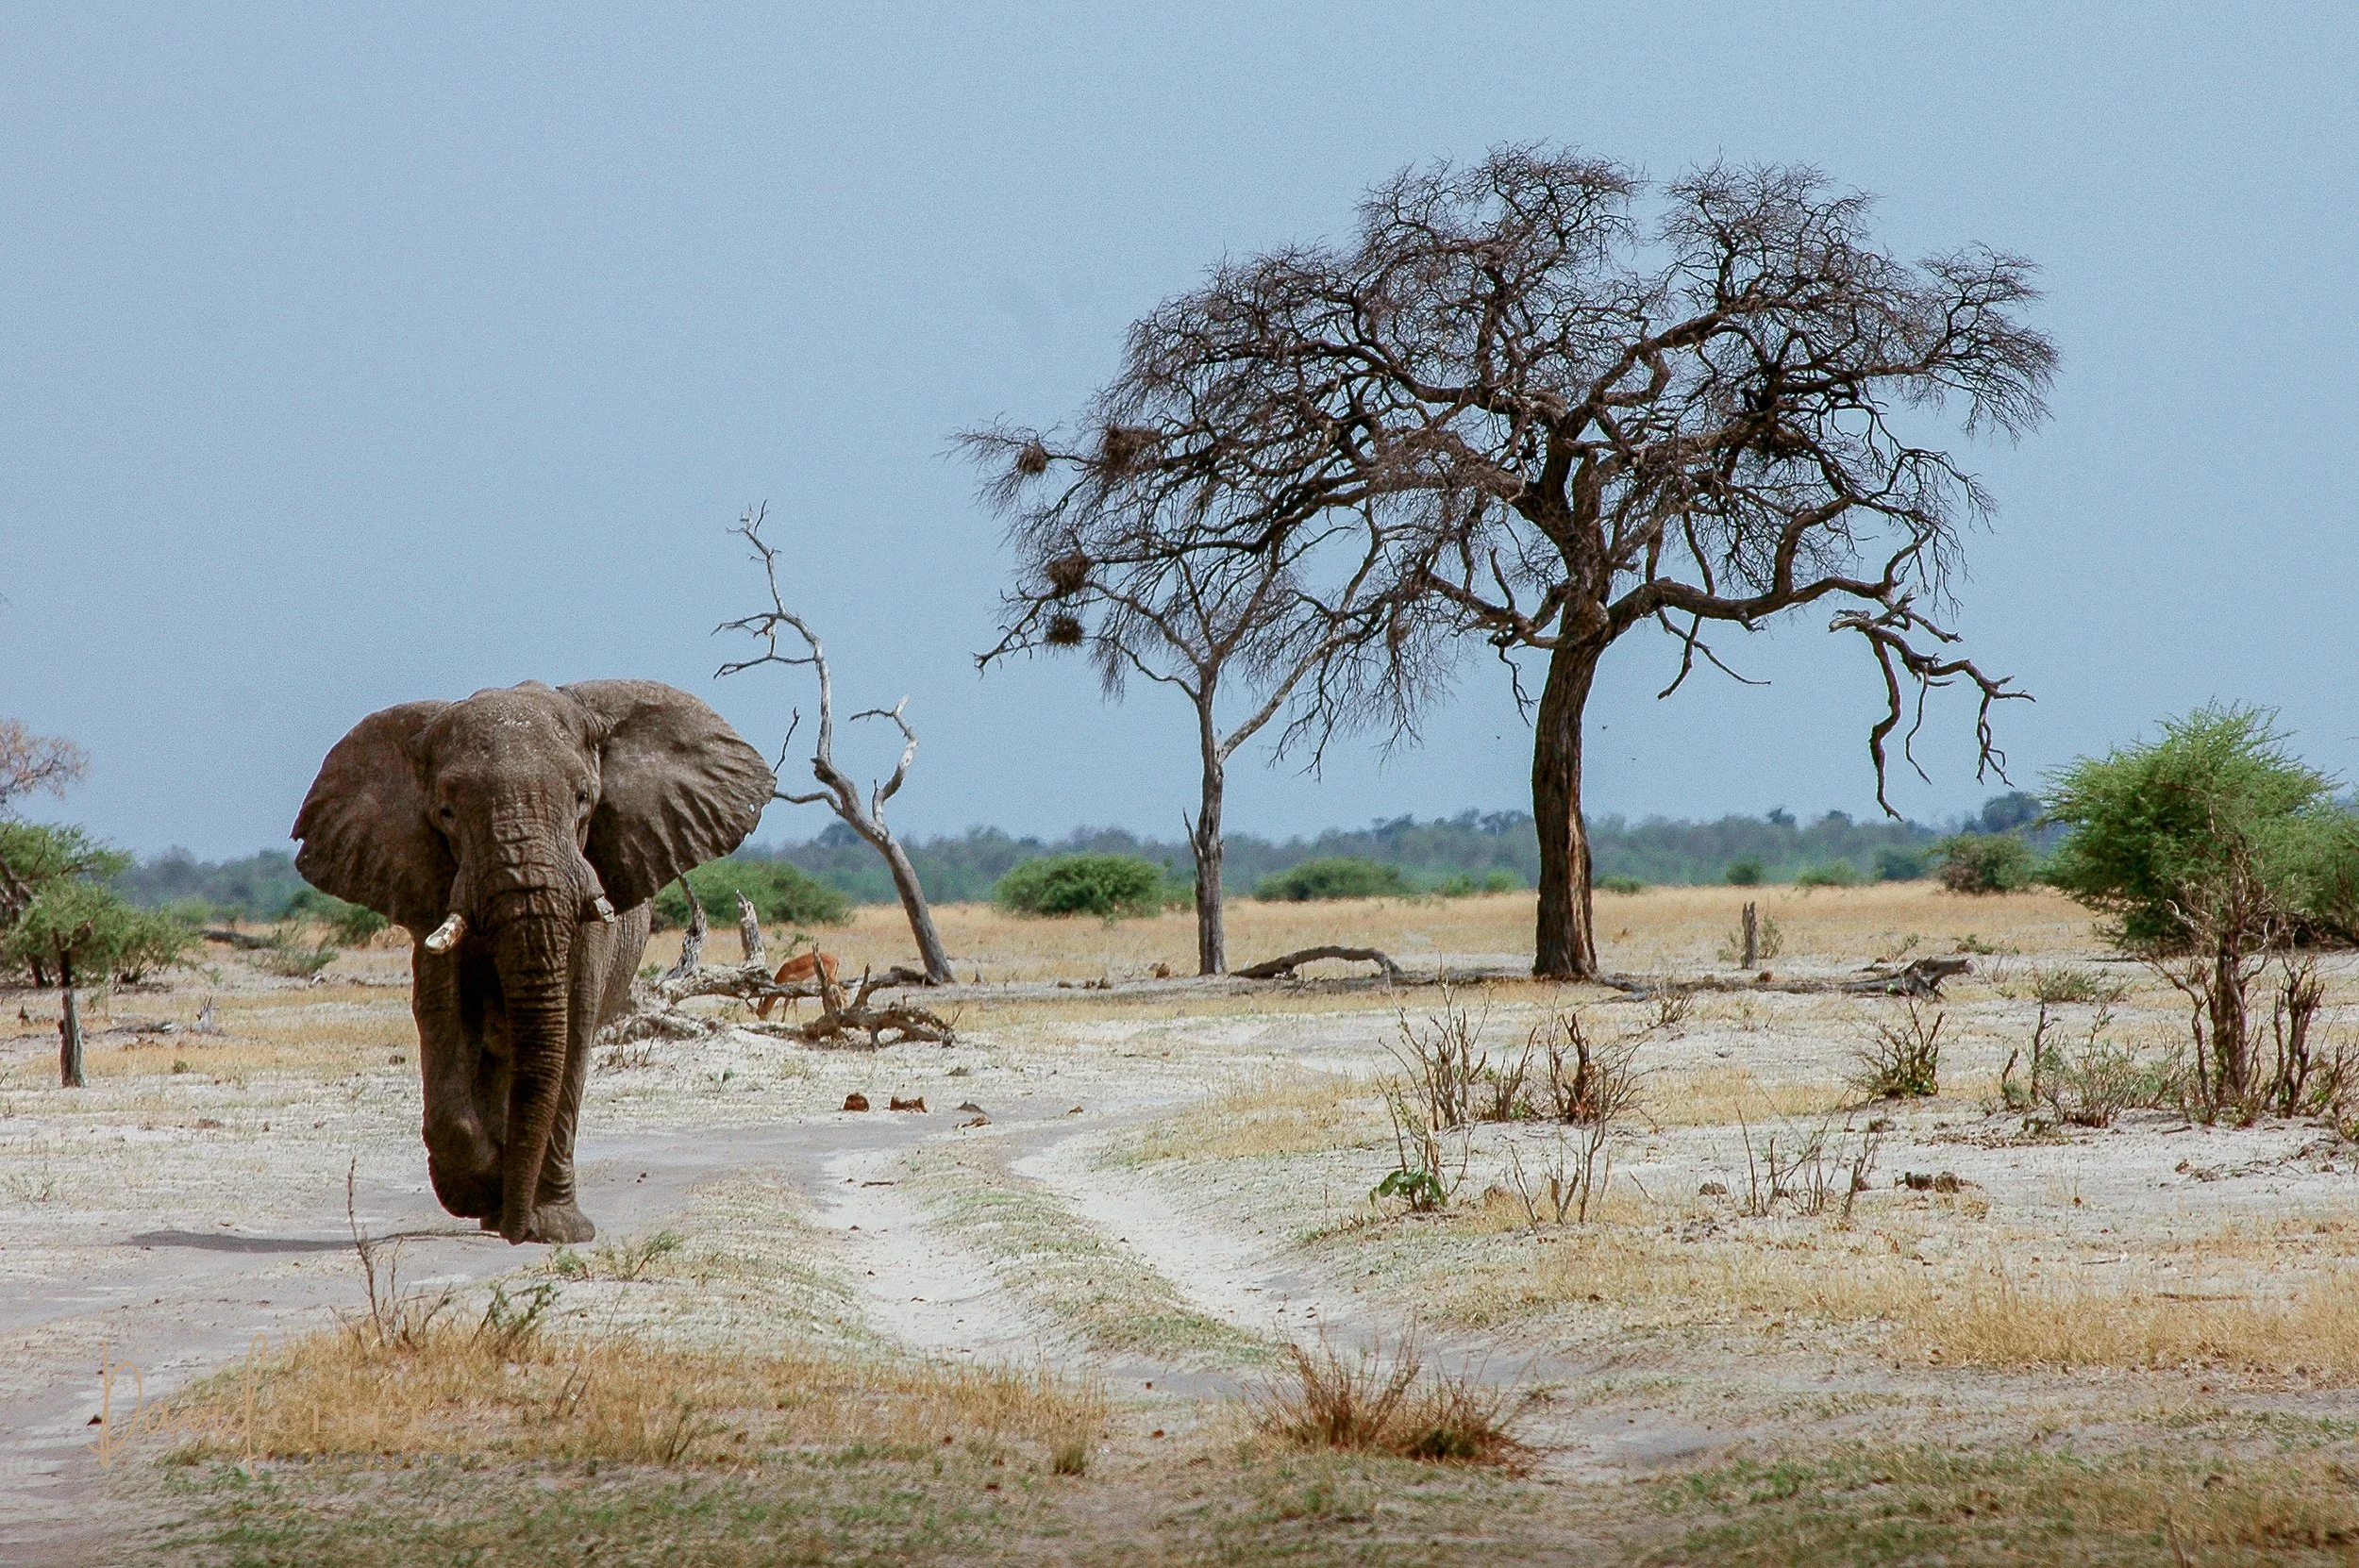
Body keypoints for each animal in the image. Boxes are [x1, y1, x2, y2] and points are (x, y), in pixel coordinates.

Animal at [292, 679, 774, 1244]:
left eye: (584, 799)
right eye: (447, 812)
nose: (515, 1231)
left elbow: (572, 1028)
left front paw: (556, 1228)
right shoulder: (430, 888)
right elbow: (445, 1016)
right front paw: (479, 1190)